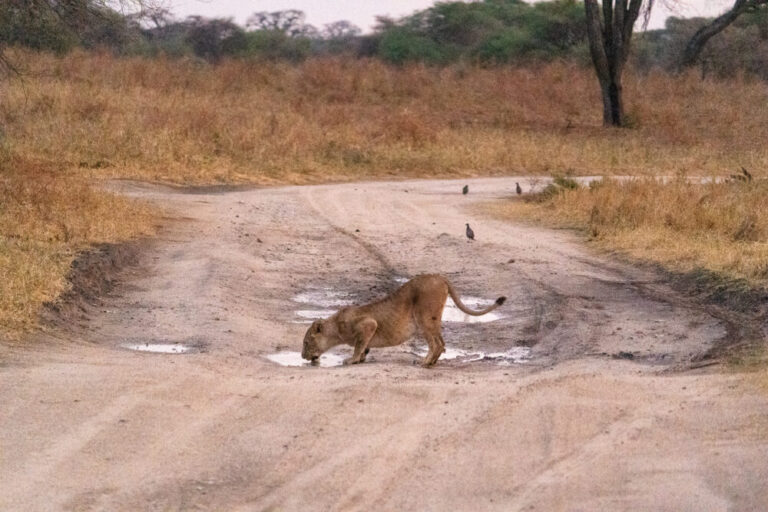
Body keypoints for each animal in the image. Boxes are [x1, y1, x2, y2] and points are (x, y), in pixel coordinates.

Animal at [301, 274, 506, 367]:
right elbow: (365, 346)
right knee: (441, 343)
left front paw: (352, 360)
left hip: (424, 317)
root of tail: (440, 277)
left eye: (306, 342)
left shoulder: (368, 324)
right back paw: (431, 361)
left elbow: (359, 345)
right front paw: (361, 358)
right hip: (432, 319)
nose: (302, 356)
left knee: (437, 343)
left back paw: (425, 362)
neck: (335, 326)